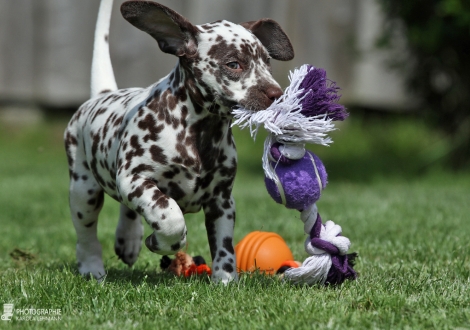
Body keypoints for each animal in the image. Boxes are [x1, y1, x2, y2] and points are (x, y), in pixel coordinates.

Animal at [64, 0, 292, 284]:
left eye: (267, 62)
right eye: (233, 64)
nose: (277, 94)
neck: (198, 134)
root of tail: (102, 95)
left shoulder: (222, 201)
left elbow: (224, 246)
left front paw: (225, 281)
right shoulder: (135, 180)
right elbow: (170, 216)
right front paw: (162, 240)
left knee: (128, 211)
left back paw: (128, 240)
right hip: (83, 192)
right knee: (86, 234)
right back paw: (91, 267)